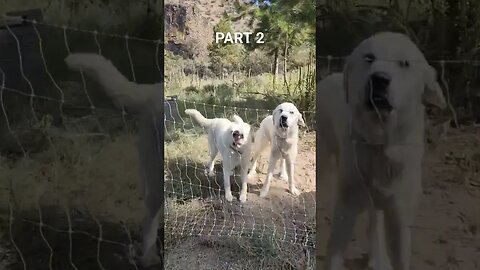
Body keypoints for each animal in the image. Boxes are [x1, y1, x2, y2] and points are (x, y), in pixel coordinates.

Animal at [316, 33, 448, 270]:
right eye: (369, 58)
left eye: (404, 63)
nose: (379, 79)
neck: (380, 144)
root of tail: (328, 77)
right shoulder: (347, 207)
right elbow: (334, 252)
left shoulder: (399, 216)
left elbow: (401, 257)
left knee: (374, 222)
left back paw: (377, 259)